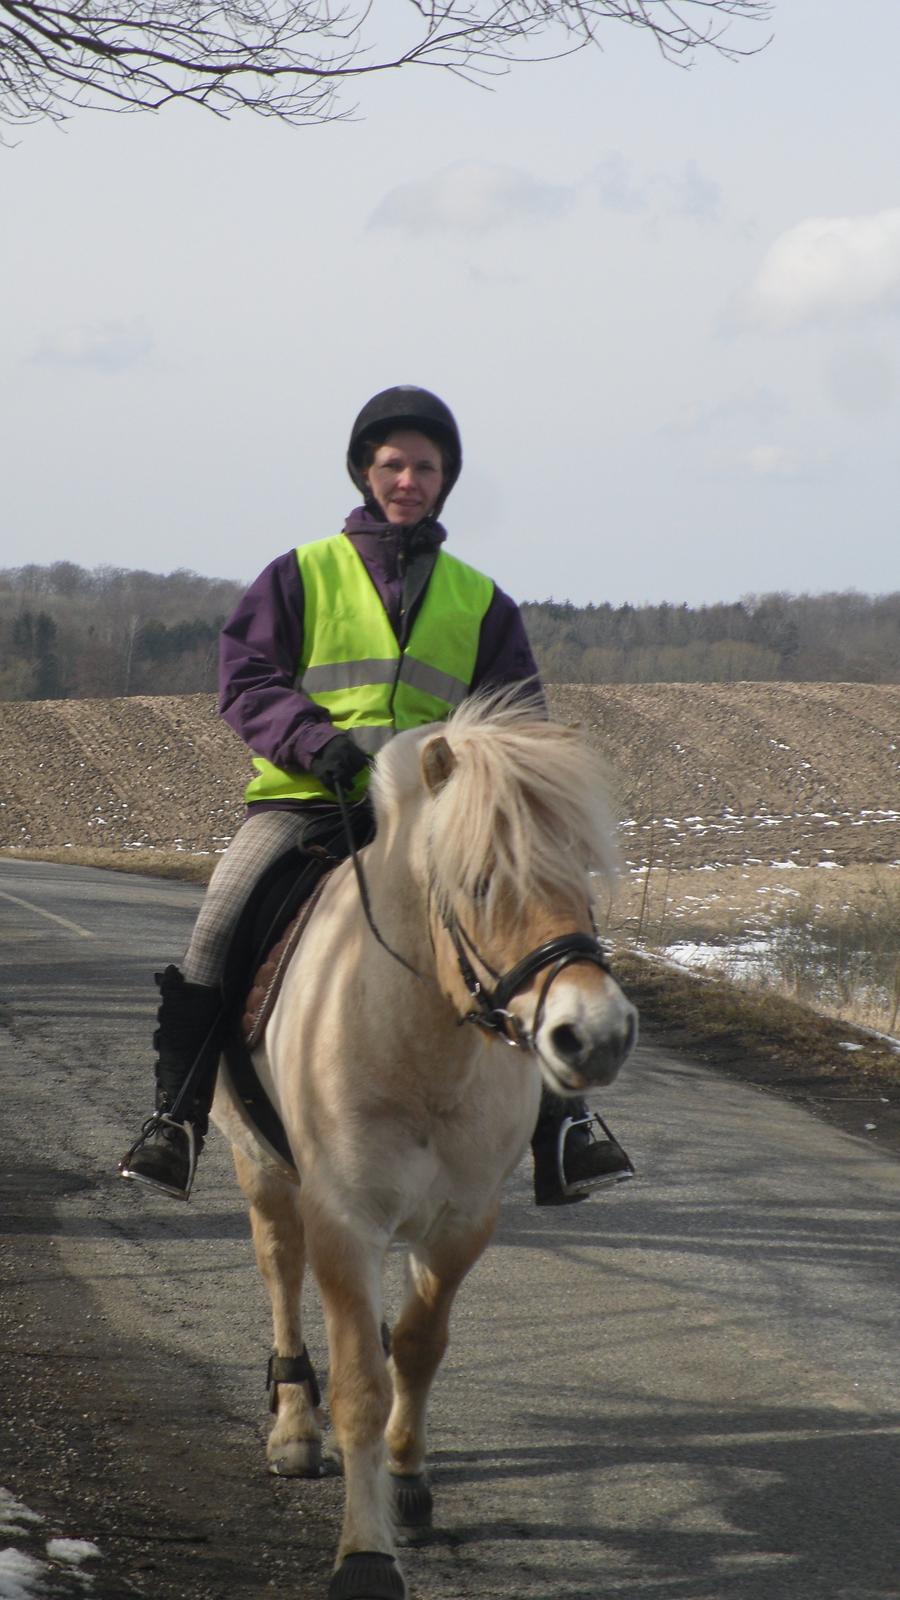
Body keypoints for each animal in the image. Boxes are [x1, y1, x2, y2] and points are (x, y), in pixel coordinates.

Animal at [212, 700, 634, 1600]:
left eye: (581, 875)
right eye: (479, 883)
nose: (597, 1036)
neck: (420, 1040)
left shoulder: (462, 1220)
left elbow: (416, 1348)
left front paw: (406, 1481)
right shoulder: (342, 1218)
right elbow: (360, 1390)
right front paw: (366, 1554)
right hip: (262, 1170)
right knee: (281, 1273)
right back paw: (294, 1429)